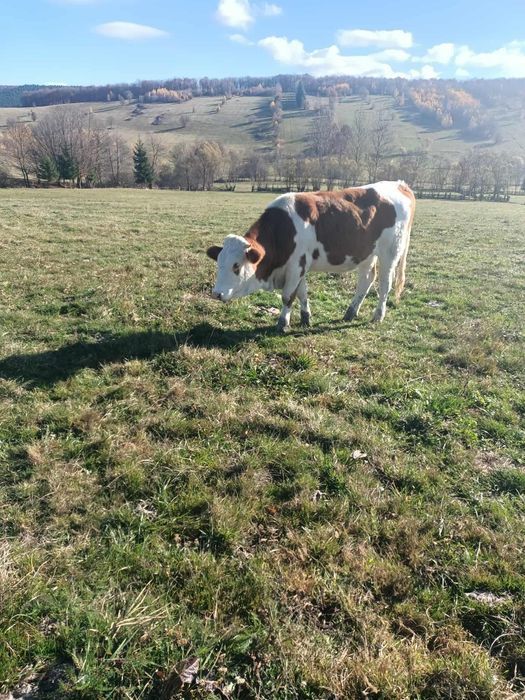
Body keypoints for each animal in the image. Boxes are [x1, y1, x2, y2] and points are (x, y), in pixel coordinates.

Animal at [206, 180, 415, 332]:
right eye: (219, 264)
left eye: (236, 266)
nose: (216, 294)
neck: (284, 230)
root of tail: (400, 184)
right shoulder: (300, 266)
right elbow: (302, 293)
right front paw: (306, 318)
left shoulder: (297, 265)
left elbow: (288, 296)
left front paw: (283, 323)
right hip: (366, 253)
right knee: (366, 280)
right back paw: (351, 312)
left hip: (390, 252)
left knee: (384, 284)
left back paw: (378, 315)